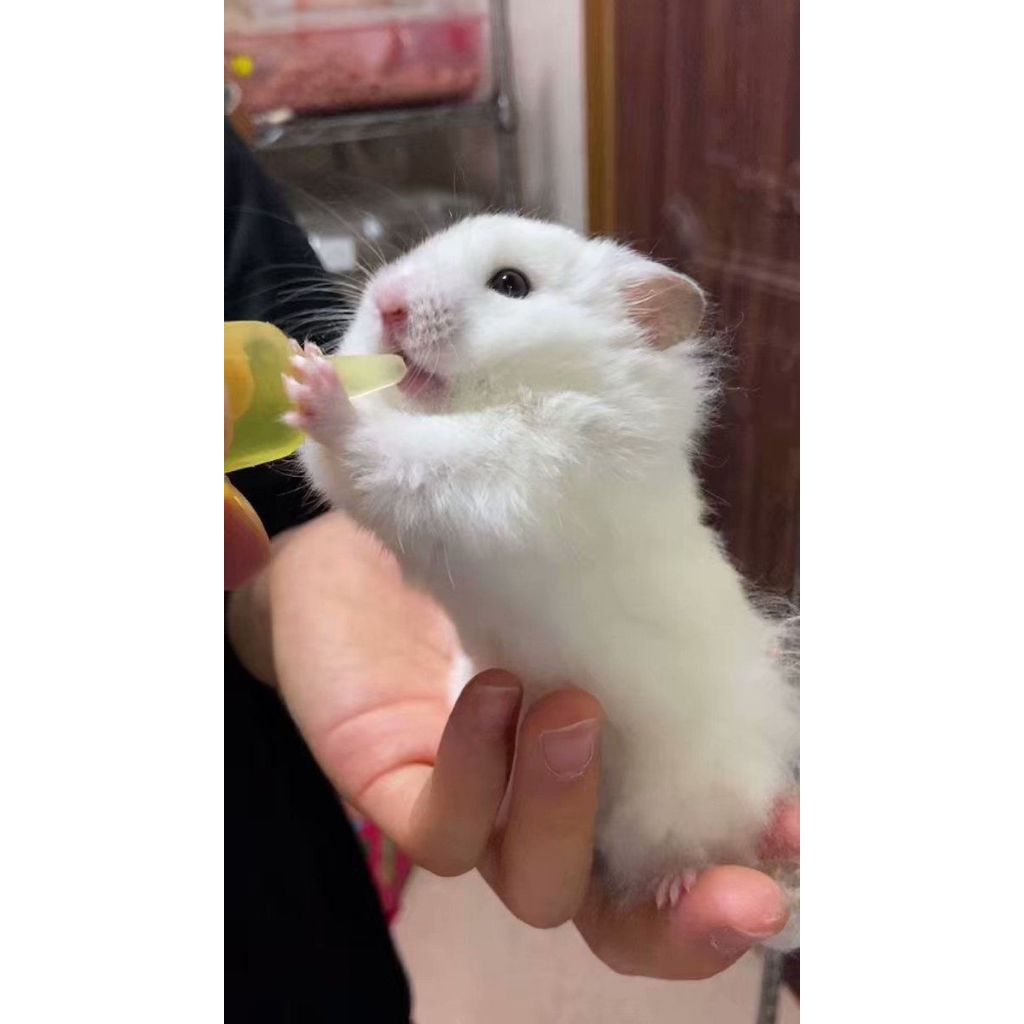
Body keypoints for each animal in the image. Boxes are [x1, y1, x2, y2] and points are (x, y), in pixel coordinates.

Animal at [289, 214, 799, 948]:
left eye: (511, 284)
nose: (387, 303)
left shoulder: (516, 478)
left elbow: (397, 456)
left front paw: (314, 383)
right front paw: (306, 366)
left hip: (679, 804)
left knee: (696, 849)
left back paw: (676, 886)